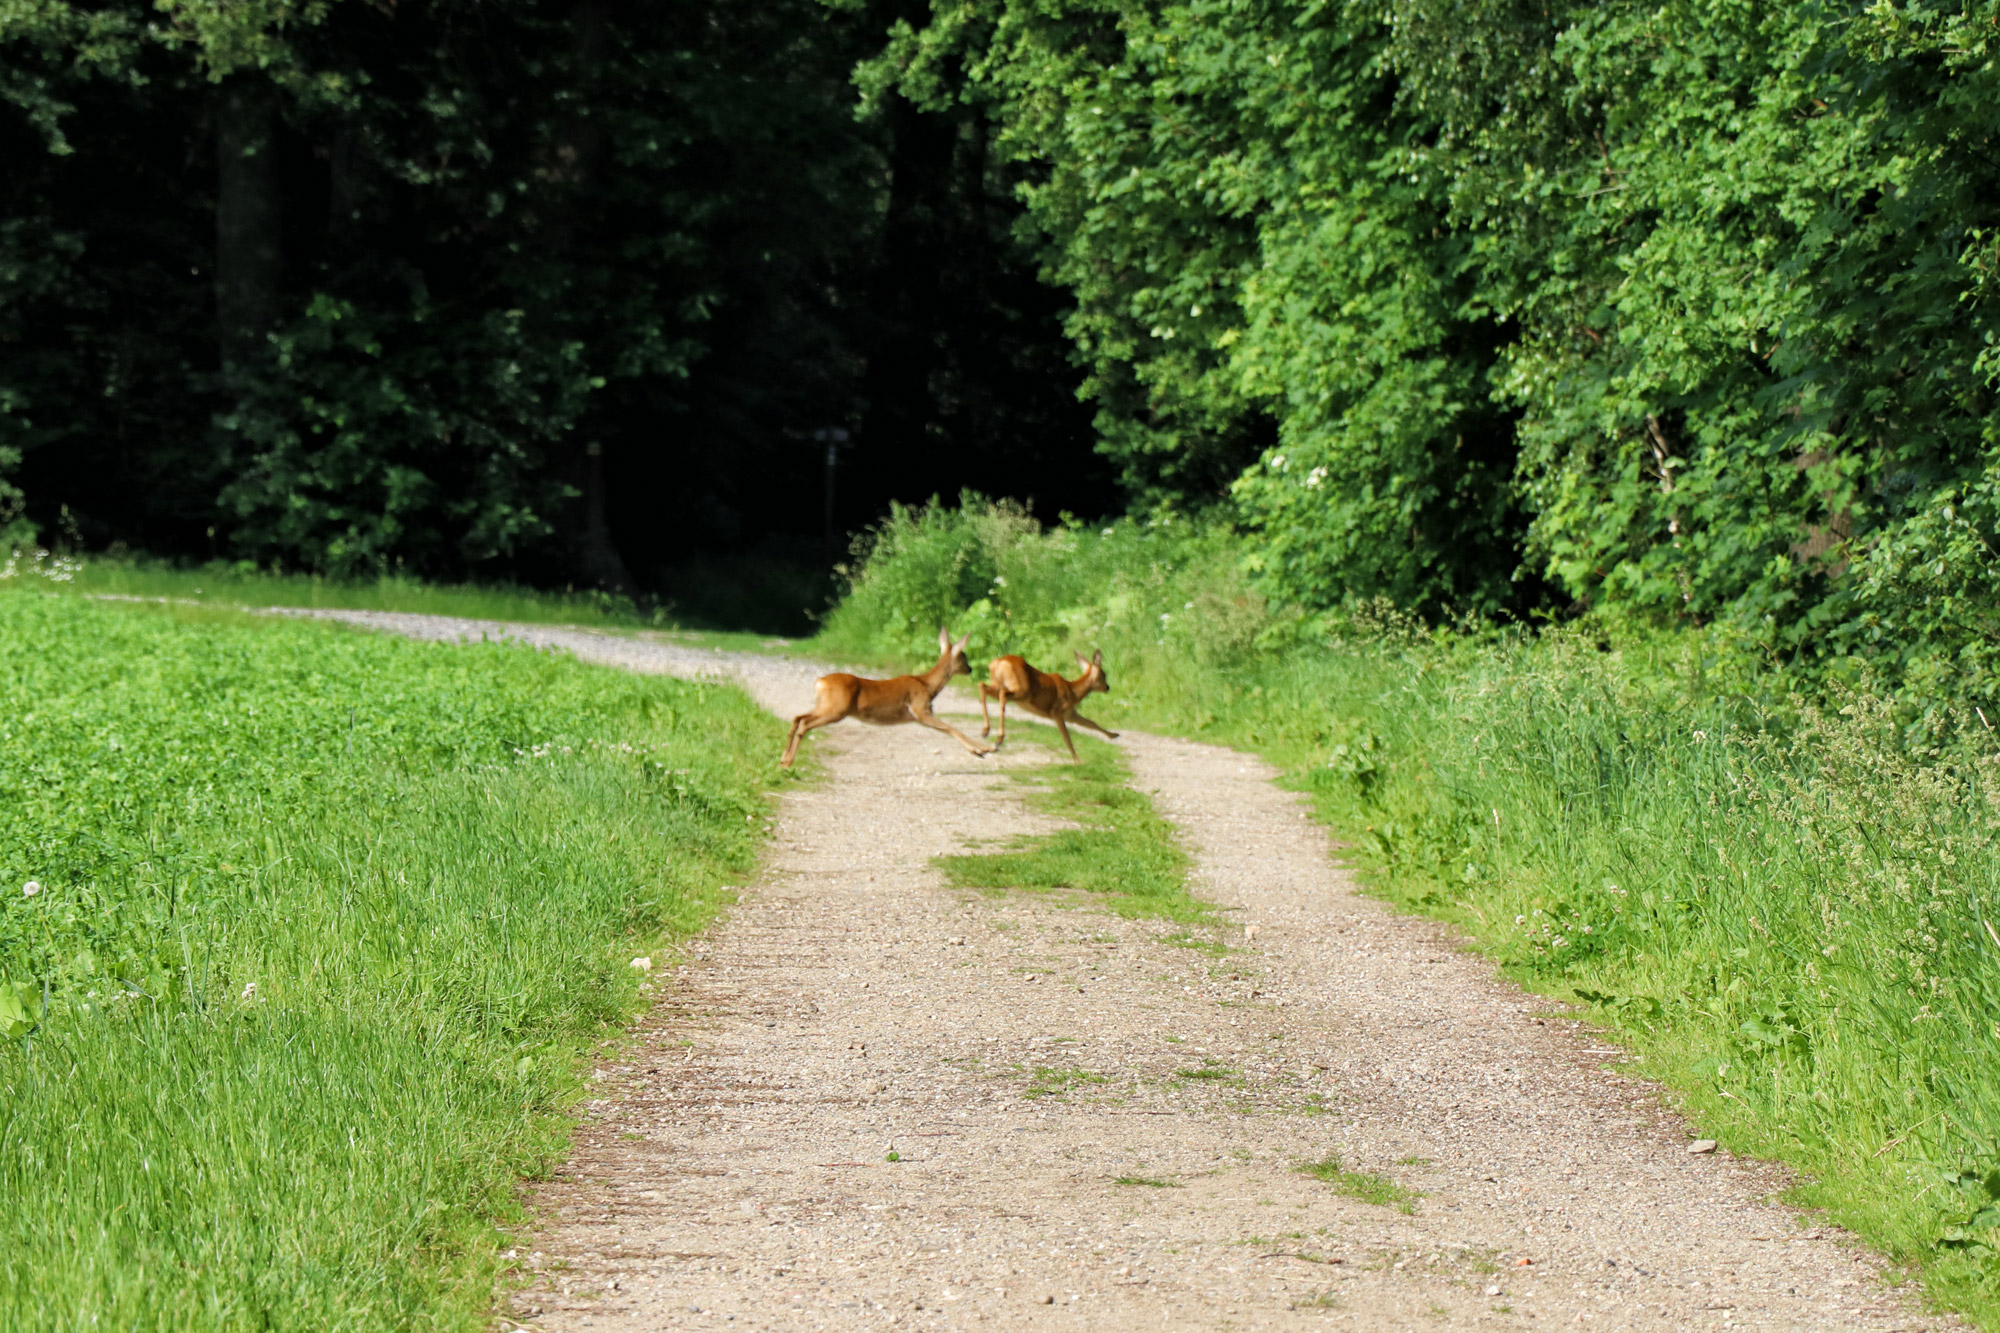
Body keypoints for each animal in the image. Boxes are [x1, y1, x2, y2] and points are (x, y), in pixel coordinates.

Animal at [780, 624, 1000, 764]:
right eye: (964, 656)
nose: (970, 669)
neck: (927, 685)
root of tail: (820, 682)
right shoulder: (920, 709)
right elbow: (951, 728)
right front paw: (984, 749)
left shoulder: (918, 716)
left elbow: (948, 729)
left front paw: (984, 749)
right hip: (836, 709)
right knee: (804, 723)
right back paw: (789, 761)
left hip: (824, 706)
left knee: (798, 717)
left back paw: (783, 759)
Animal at [976, 648, 1120, 764]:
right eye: (1104, 674)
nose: (1107, 687)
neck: (1073, 692)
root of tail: (999, 662)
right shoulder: (1057, 711)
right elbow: (1067, 737)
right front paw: (1077, 761)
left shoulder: (1070, 715)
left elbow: (1091, 723)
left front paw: (1114, 735)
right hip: (1021, 690)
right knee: (1003, 694)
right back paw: (998, 738)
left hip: (998, 683)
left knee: (983, 685)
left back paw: (985, 731)